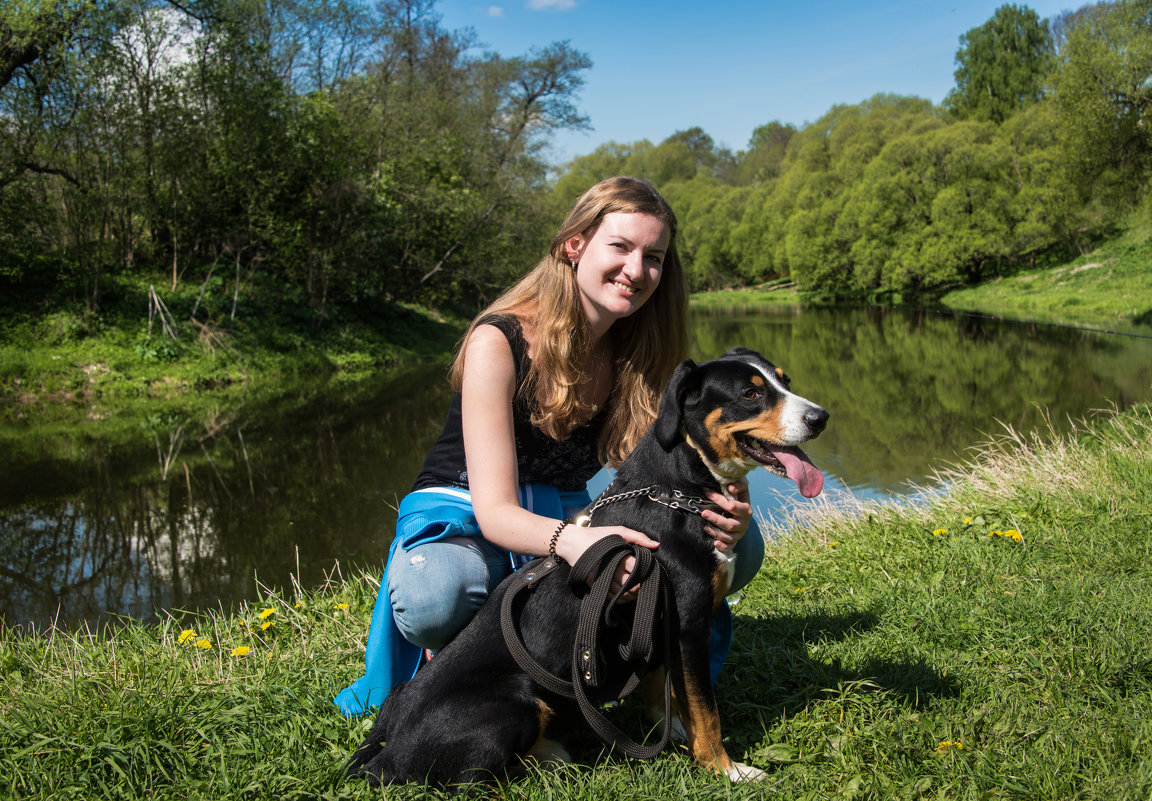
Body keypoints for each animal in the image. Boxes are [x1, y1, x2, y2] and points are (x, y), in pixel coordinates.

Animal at [343, 350, 829, 788]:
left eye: (784, 381)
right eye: (751, 394)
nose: (821, 417)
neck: (677, 492)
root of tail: (382, 750)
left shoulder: (657, 625)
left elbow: (663, 691)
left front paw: (667, 732)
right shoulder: (689, 626)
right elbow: (706, 713)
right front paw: (727, 770)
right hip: (516, 701)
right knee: (470, 783)